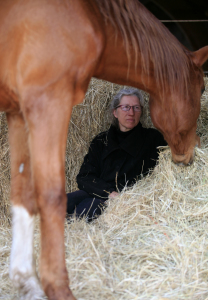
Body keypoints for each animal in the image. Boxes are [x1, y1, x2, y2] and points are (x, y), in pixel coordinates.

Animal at [0, 0, 208, 298]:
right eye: (201, 89)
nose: (191, 153)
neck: (93, 18)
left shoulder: (18, 111)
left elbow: (22, 195)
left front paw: (26, 282)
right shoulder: (47, 100)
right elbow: (51, 196)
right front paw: (58, 288)